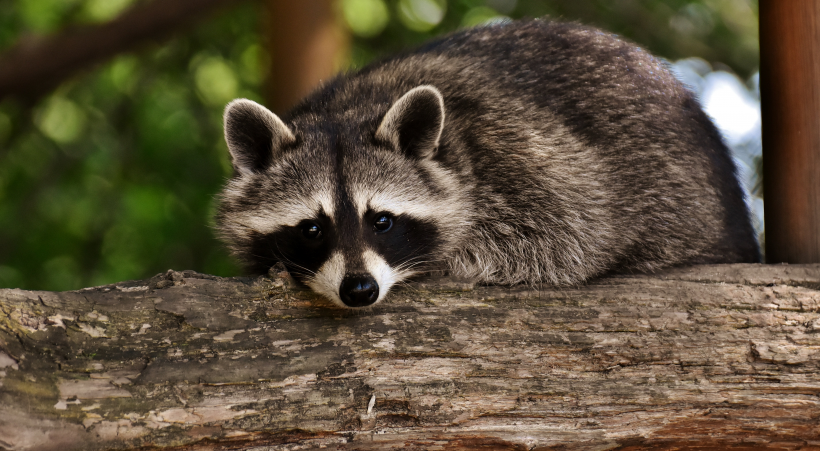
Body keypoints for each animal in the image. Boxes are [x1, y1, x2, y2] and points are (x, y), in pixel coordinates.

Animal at [213, 17, 764, 308]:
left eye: (382, 221)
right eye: (311, 228)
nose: (360, 290)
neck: (348, 110)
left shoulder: (526, 158)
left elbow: (570, 237)